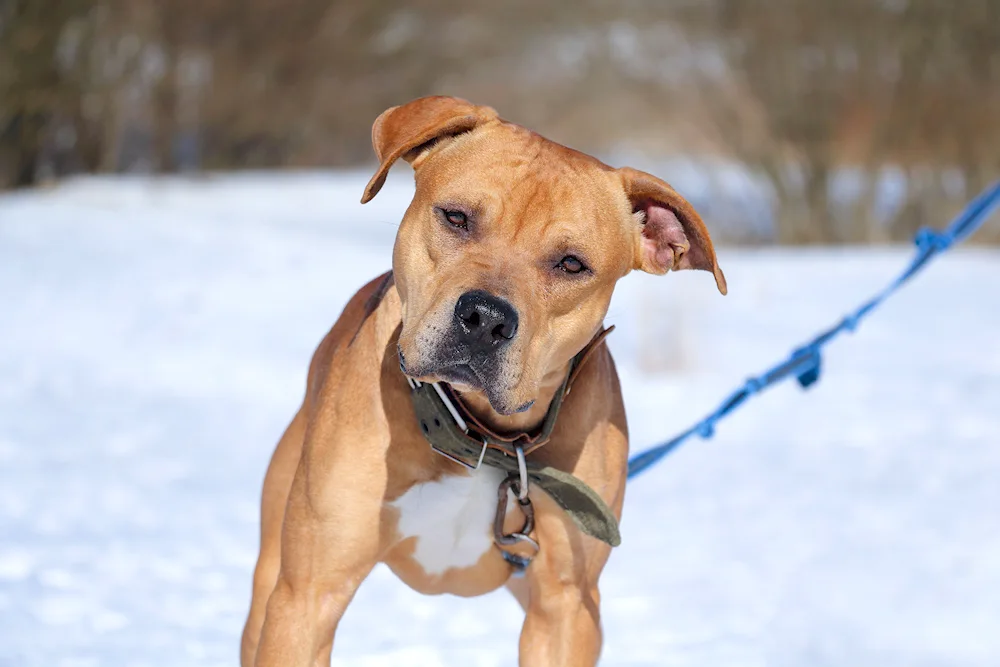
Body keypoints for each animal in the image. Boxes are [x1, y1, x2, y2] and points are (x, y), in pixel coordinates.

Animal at [242, 95, 728, 667]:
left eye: (571, 264)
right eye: (456, 217)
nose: (486, 319)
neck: (483, 439)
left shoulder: (565, 610)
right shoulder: (308, 595)